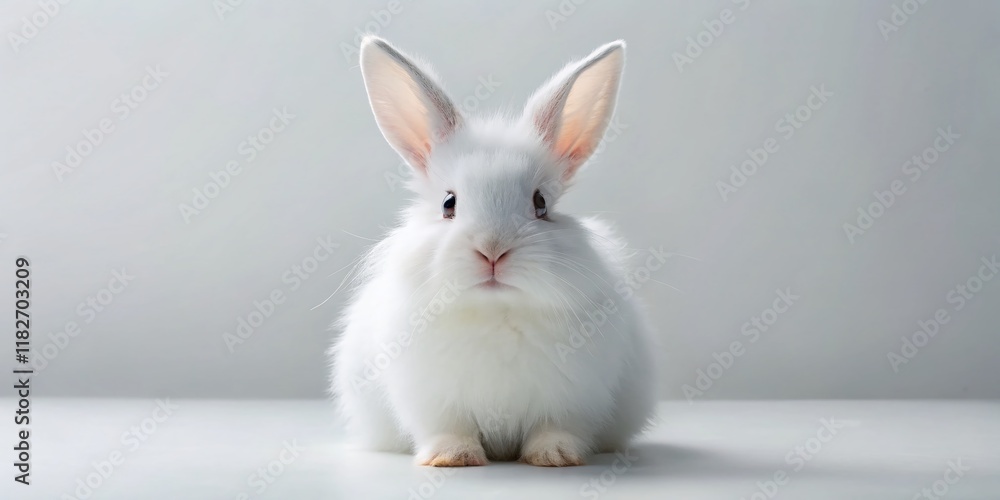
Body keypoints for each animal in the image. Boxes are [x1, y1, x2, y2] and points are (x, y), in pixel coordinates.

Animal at [329, 36, 659, 467]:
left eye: (541, 203)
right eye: (448, 203)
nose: (493, 250)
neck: (495, 310)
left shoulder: (574, 399)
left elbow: (556, 426)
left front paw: (554, 455)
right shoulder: (432, 401)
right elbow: (448, 428)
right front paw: (452, 457)